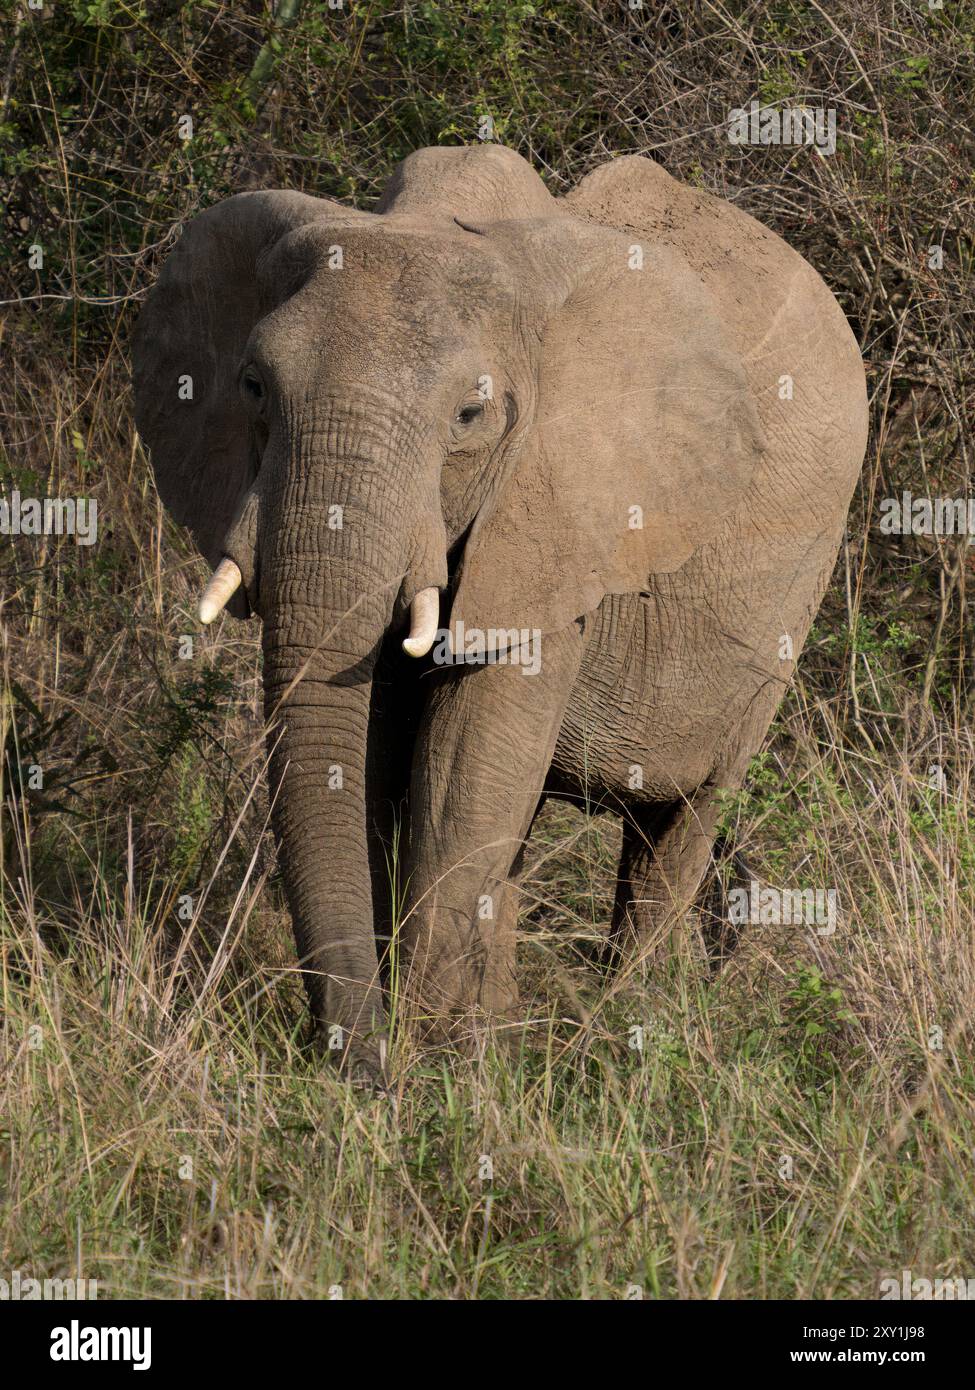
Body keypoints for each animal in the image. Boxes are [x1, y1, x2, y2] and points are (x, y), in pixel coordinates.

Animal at [132, 144, 868, 1081]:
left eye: (470, 415)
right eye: (254, 386)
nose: (357, 1067)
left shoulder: (560, 515)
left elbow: (461, 765)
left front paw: (434, 1065)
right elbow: (373, 757)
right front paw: (438, 1058)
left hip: (792, 601)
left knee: (681, 820)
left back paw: (622, 1033)